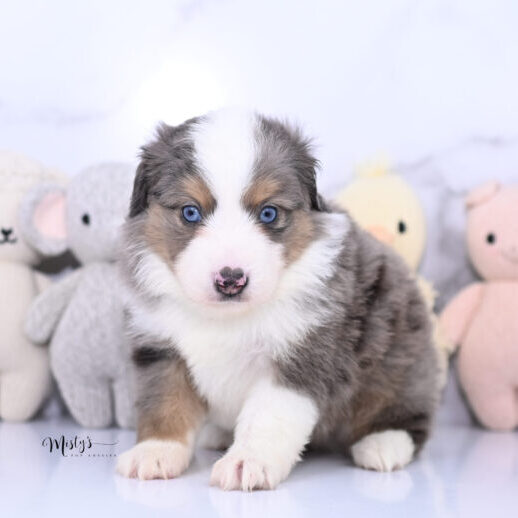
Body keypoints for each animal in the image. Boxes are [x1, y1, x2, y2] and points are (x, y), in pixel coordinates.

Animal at [116, 109, 440, 492]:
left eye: (268, 213)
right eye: (190, 212)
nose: (231, 279)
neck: (227, 317)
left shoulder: (301, 355)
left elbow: (267, 416)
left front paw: (247, 461)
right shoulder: (162, 349)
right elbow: (164, 401)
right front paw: (155, 451)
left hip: (399, 361)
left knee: (406, 414)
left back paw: (383, 444)